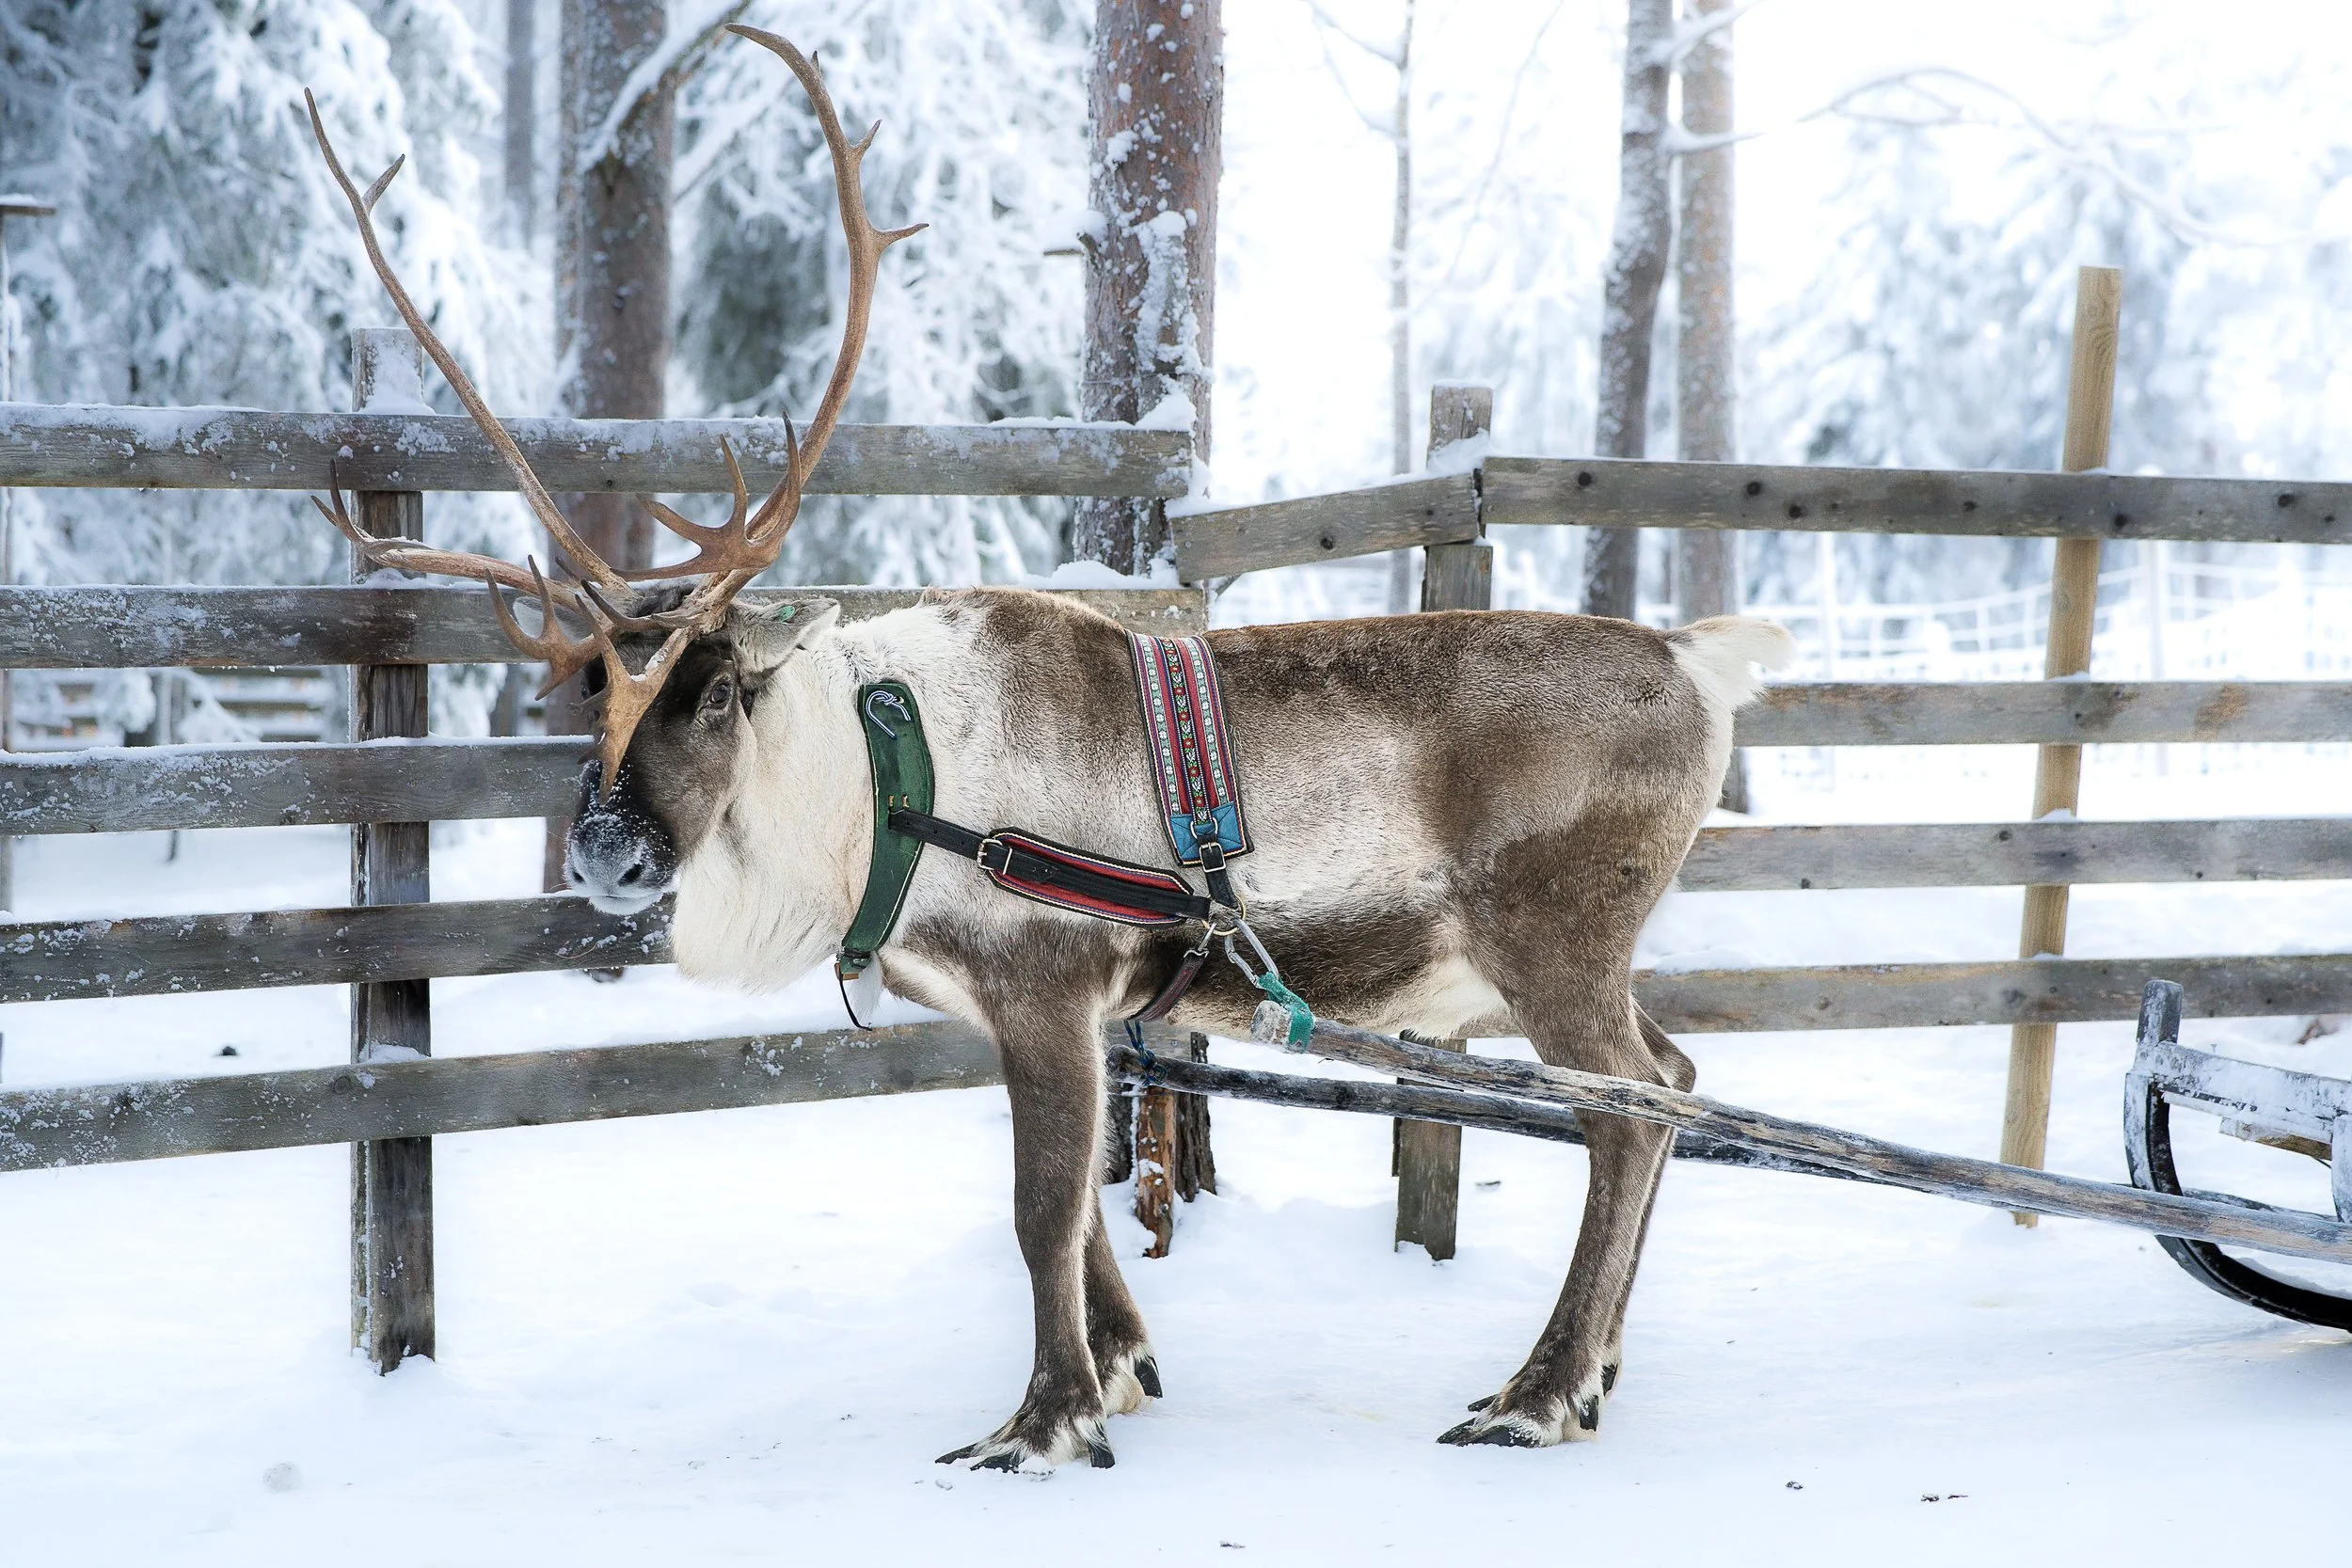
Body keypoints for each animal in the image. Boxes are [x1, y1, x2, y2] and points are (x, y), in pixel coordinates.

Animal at [304, 25, 1794, 1471]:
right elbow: (1076, 1206)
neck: (877, 788)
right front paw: (1125, 1368)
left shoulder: (1044, 983)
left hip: (1551, 938)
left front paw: (1041, 1420)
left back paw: (1534, 1391)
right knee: (1679, 1078)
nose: (605, 853)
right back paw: (1596, 1373)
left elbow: (1037, 1208)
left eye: (715, 691)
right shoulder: (1044, 1012)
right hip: (1575, 958)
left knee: (1629, 1106)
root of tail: (1697, 661)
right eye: (582, 685)